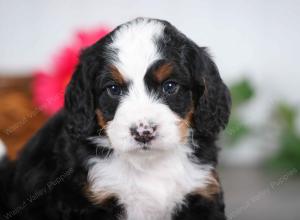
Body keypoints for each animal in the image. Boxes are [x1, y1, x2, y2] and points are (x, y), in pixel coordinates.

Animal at [0, 17, 230, 220]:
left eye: (170, 86)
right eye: (113, 89)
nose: (143, 132)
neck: (148, 164)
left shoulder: (201, 191)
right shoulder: (91, 201)